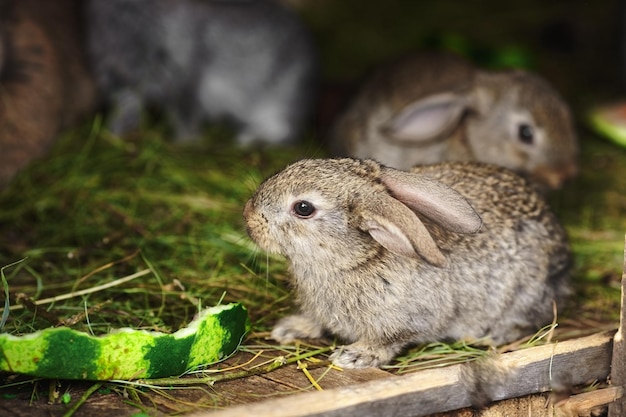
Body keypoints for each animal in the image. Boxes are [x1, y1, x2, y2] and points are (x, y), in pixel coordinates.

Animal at [84, 0, 316, 145]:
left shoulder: (183, 77)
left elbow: (185, 115)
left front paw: (185, 143)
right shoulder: (118, 80)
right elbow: (126, 110)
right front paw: (113, 133)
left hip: (281, 100)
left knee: (283, 131)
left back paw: (247, 139)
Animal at [244, 157, 572, 368]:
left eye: (303, 208)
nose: (249, 216)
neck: (356, 259)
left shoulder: (410, 320)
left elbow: (389, 341)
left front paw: (355, 356)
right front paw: (289, 329)